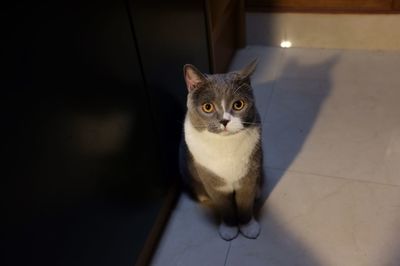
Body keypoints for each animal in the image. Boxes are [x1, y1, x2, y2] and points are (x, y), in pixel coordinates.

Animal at [180, 60, 262, 241]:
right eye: (207, 107)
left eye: (238, 105)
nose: (224, 121)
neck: (225, 146)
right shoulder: (212, 181)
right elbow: (224, 206)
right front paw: (229, 229)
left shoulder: (249, 174)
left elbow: (245, 202)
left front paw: (248, 227)